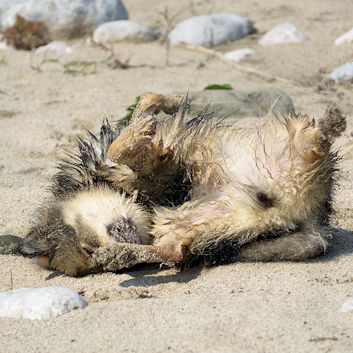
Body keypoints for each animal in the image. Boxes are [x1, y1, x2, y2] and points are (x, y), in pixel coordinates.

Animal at [20, 92, 346, 274]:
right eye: (88, 252)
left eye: (85, 243)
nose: (129, 240)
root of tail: (308, 218)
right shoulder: (161, 183)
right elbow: (124, 152)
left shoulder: (160, 168)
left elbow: (129, 134)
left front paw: (156, 110)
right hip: (205, 220)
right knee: (176, 251)